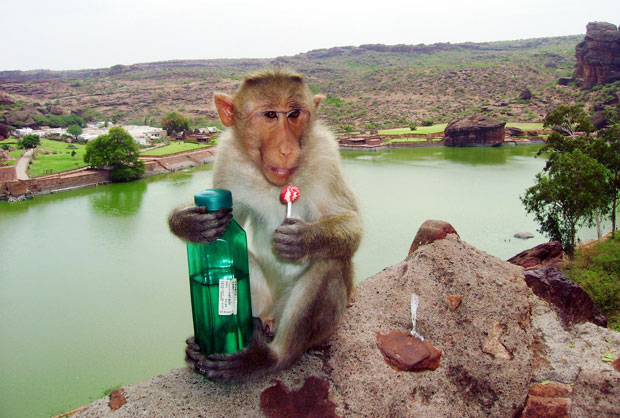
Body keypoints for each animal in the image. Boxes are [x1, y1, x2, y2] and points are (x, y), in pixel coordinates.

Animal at [170, 68, 364, 382]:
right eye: (270, 115)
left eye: (295, 114)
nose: (286, 149)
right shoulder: (227, 160)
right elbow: (227, 218)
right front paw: (191, 222)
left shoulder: (326, 156)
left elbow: (351, 222)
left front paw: (303, 238)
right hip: (263, 301)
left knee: (330, 261)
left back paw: (267, 358)